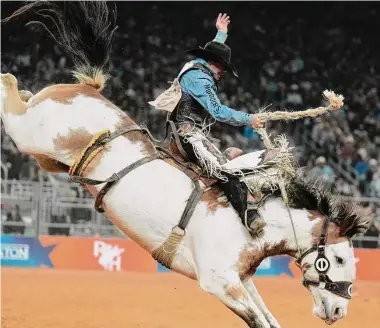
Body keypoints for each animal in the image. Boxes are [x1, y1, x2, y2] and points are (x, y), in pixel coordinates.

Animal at [0, 1, 368, 326]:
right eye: (338, 258)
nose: (339, 311)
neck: (256, 220)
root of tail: (85, 88)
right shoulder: (220, 281)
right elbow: (259, 321)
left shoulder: (243, 280)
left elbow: (269, 318)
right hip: (28, 133)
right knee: (11, 93)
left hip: (49, 158)